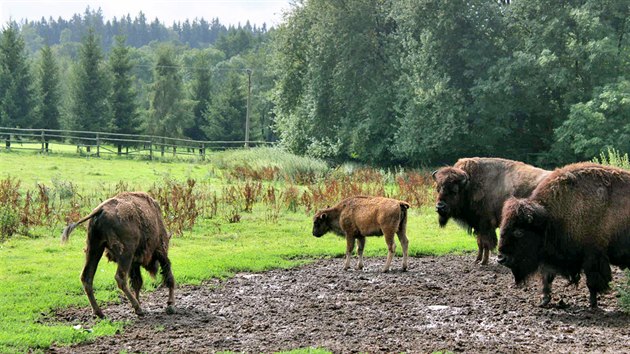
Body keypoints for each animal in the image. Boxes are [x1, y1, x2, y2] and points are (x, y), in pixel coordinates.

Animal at [498, 163, 630, 306]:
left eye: (519, 232)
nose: (501, 258)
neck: (550, 219)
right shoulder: (549, 256)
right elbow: (547, 277)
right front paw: (544, 300)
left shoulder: (593, 256)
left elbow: (592, 282)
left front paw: (592, 304)